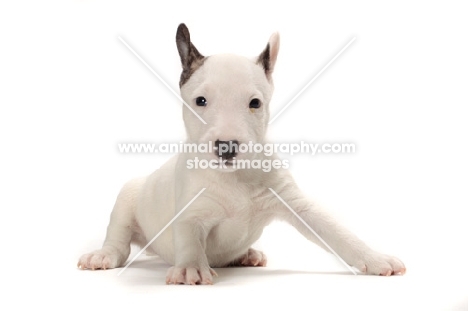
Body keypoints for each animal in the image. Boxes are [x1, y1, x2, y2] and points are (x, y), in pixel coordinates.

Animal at [77, 23, 406, 286]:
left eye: (255, 103)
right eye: (200, 101)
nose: (227, 146)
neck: (233, 177)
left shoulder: (296, 203)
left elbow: (337, 232)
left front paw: (375, 258)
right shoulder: (190, 210)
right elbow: (188, 237)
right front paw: (190, 268)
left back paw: (247, 254)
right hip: (127, 198)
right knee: (119, 239)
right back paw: (103, 255)